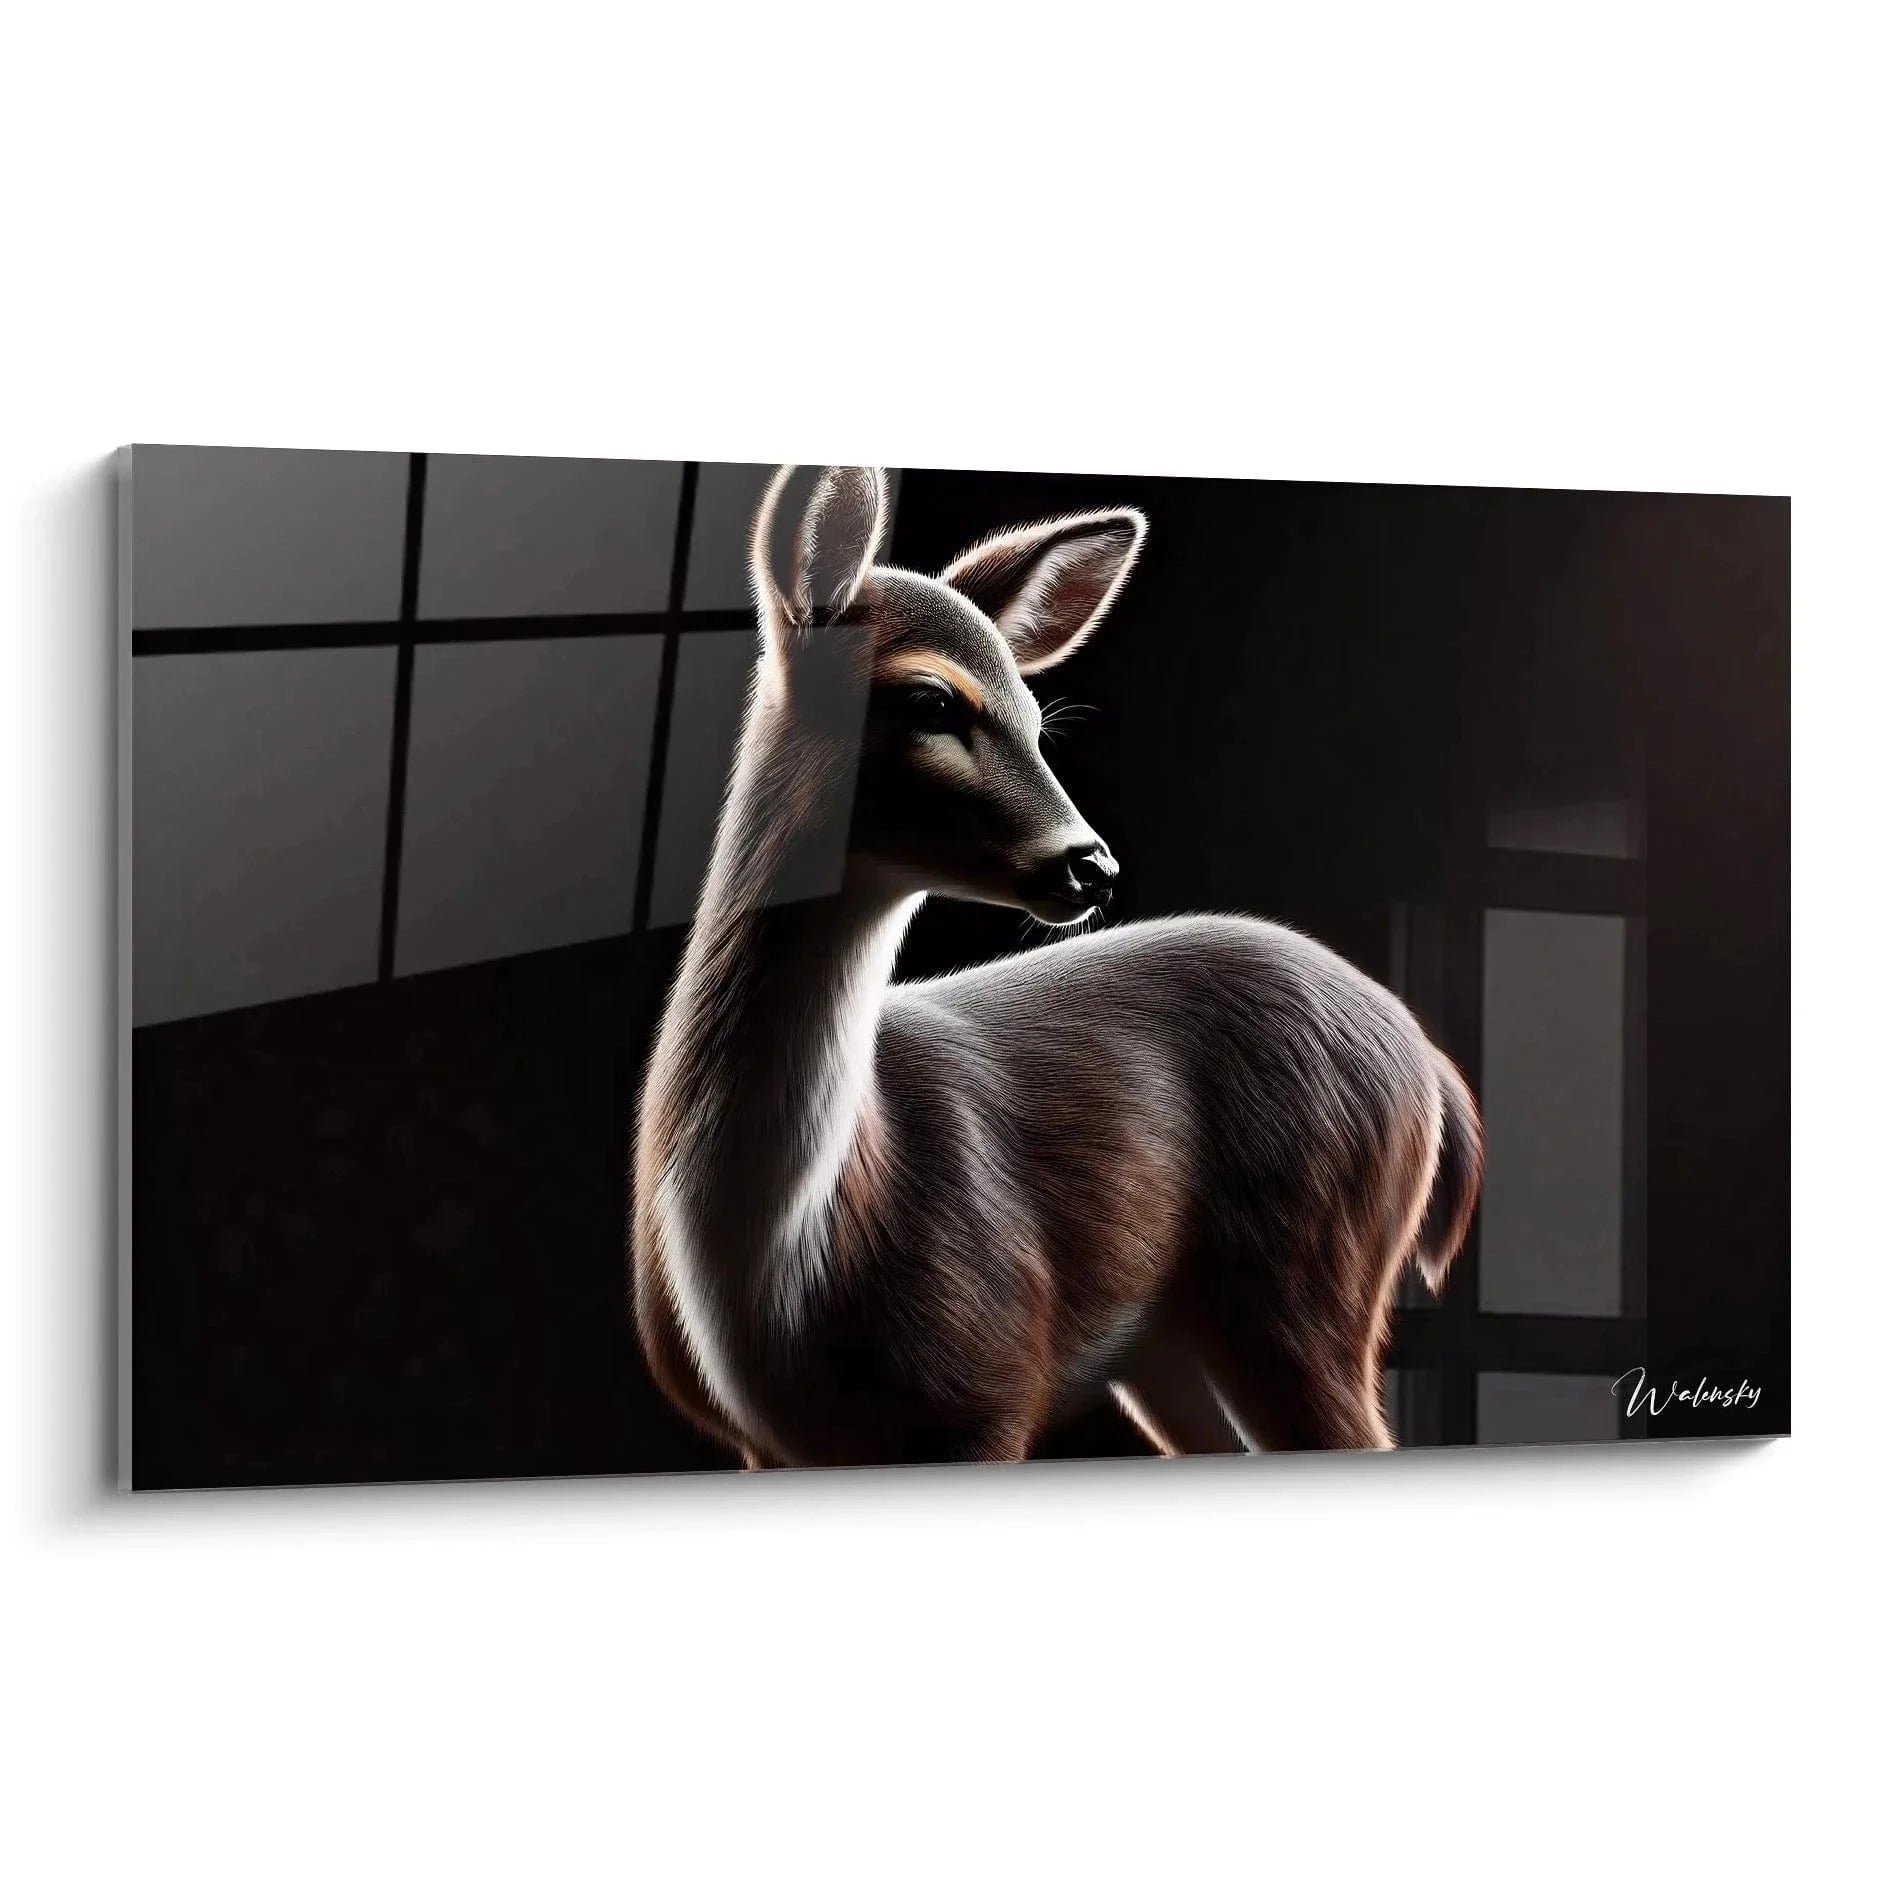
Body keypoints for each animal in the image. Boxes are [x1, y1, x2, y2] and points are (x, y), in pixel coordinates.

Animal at [632, 465, 1482, 1469]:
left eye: (1038, 719)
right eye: (933, 701)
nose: (1090, 865)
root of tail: (1428, 1060)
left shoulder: (984, 1384)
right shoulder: (763, 1445)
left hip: (1307, 1272)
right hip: (1171, 1344)